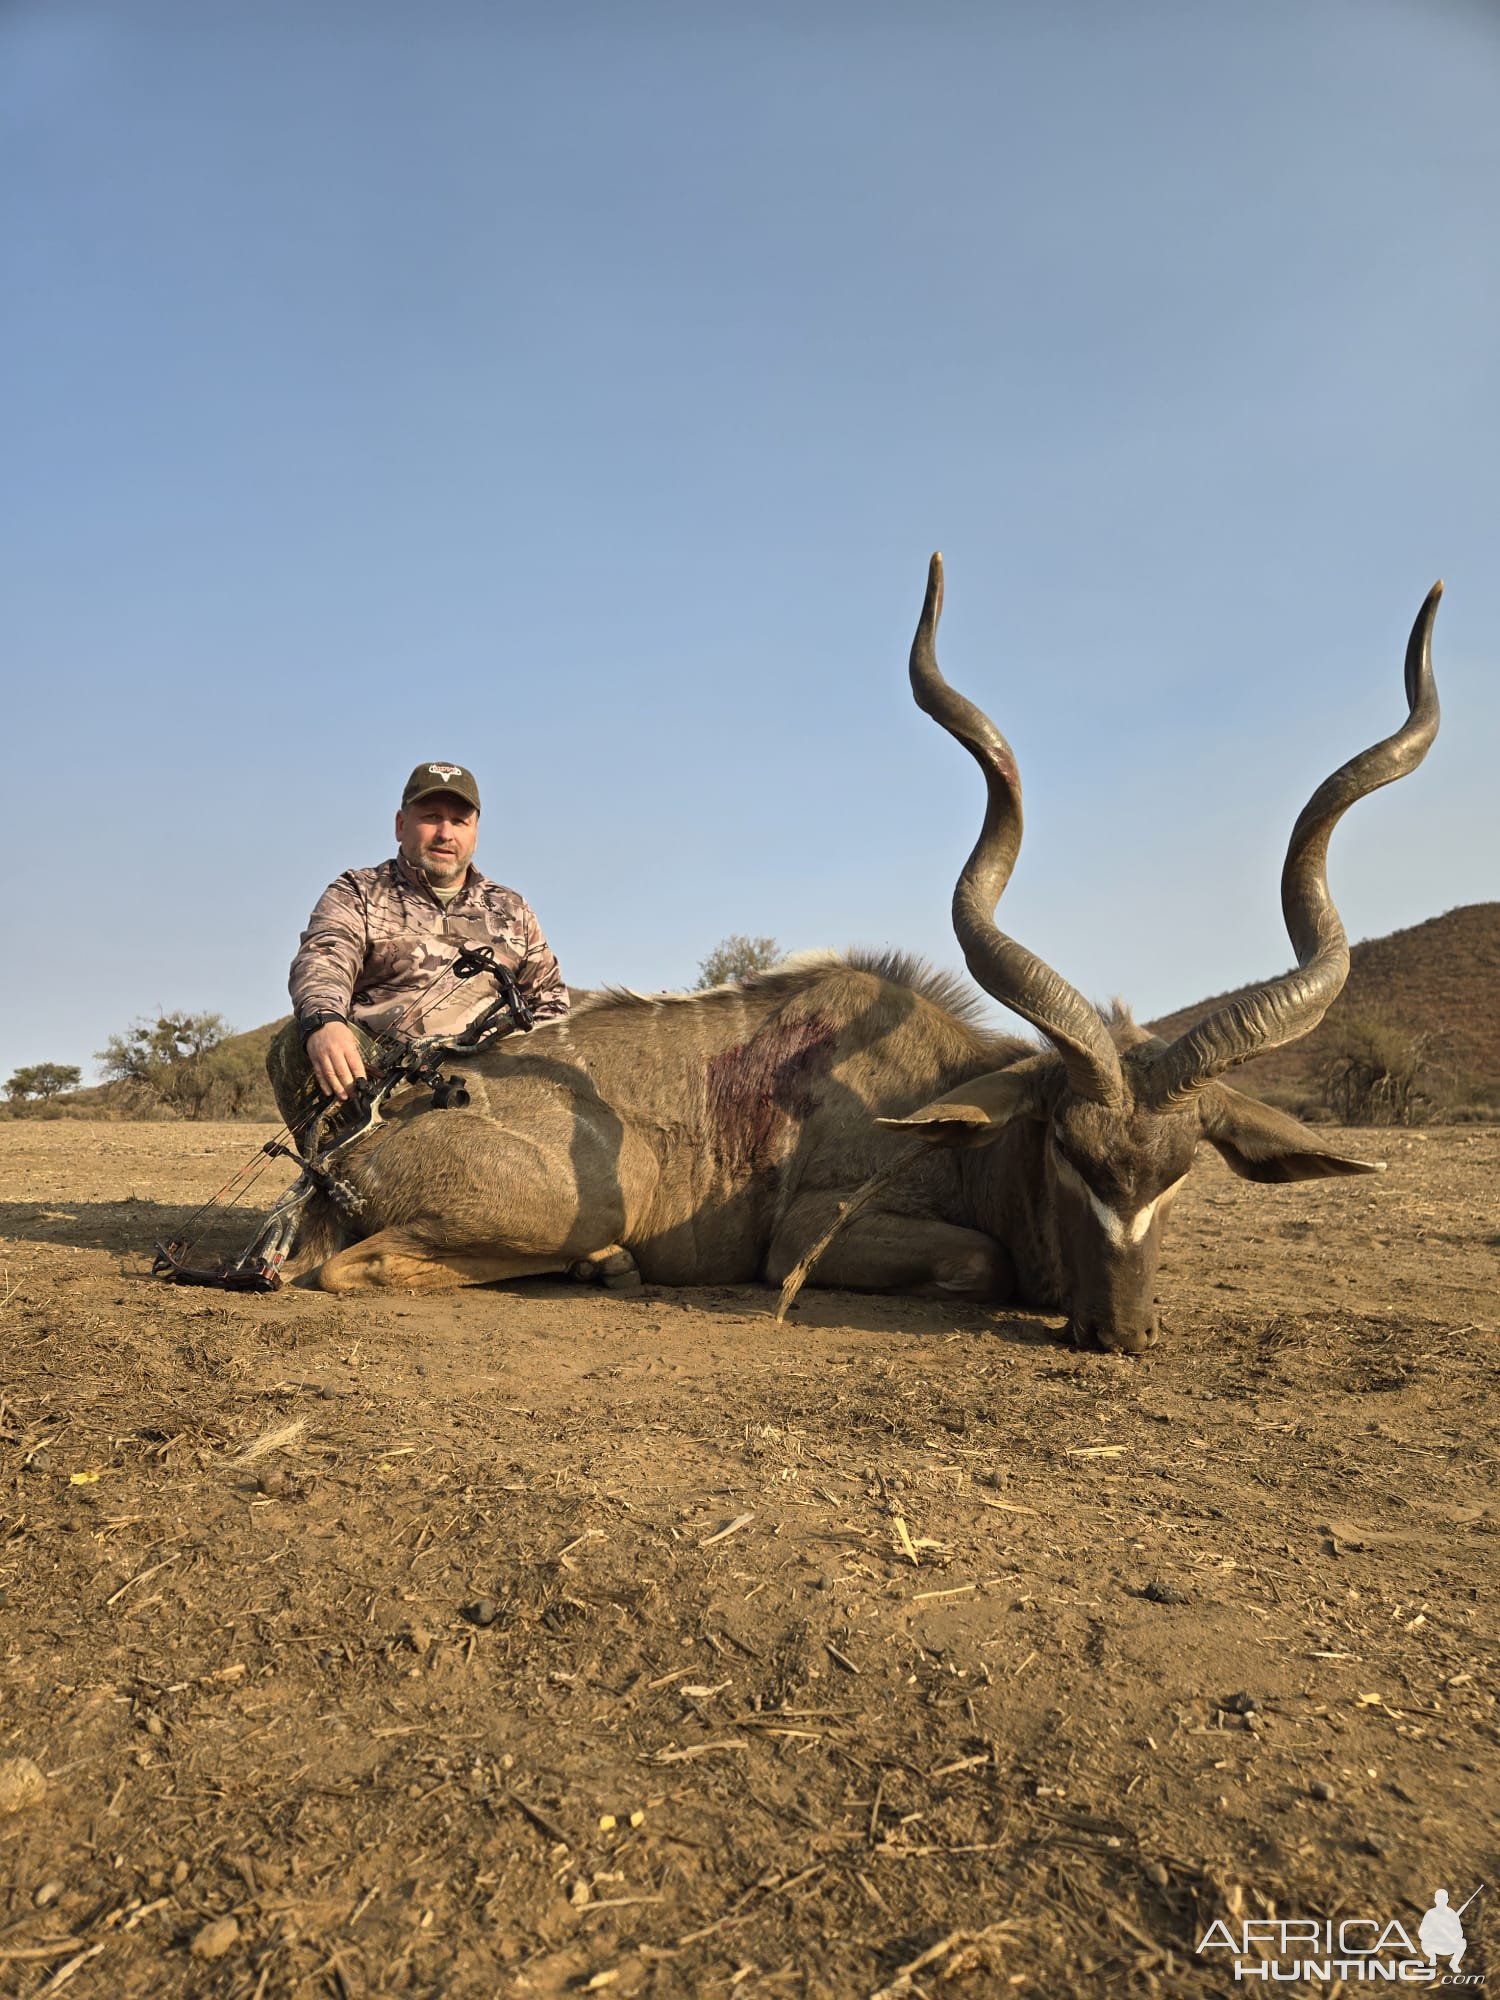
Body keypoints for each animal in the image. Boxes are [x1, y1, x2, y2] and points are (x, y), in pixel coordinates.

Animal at [284, 556, 1448, 1352]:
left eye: (1185, 1167)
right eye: (1068, 1150)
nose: (1117, 1332)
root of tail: (353, 1157)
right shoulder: (810, 1228)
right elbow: (971, 1259)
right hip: (581, 1200)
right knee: (346, 1274)